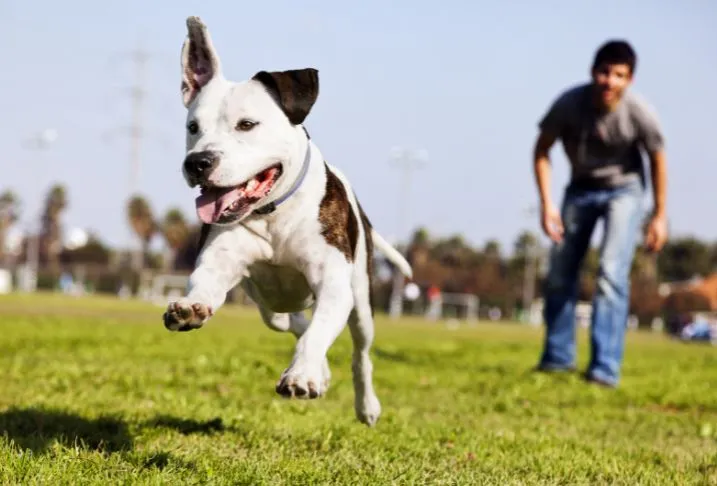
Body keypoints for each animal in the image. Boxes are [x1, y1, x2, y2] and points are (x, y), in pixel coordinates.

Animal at [160, 16, 412, 426]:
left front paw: (302, 375)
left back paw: (365, 404)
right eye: (193, 127)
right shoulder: (220, 261)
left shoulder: (333, 285)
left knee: (359, 353)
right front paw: (190, 308)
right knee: (292, 323)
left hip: (361, 301)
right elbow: (206, 284)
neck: (273, 213)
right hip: (270, 306)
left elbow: (319, 331)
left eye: (247, 124)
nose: (197, 162)